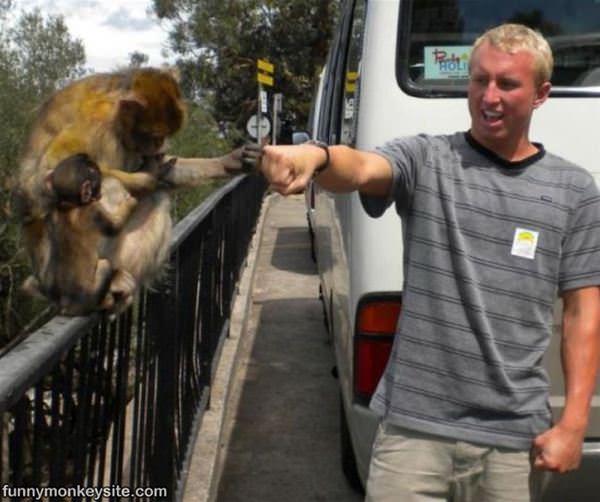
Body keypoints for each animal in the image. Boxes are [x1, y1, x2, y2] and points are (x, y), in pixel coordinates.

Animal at [16, 67, 258, 314]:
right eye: (154, 136)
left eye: (163, 137)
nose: (160, 145)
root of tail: (45, 285)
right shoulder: (99, 121)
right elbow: (53, 168)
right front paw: (146, 177)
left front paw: (229, 162)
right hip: (56, 272)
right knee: (106, 186)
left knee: (156, 198)